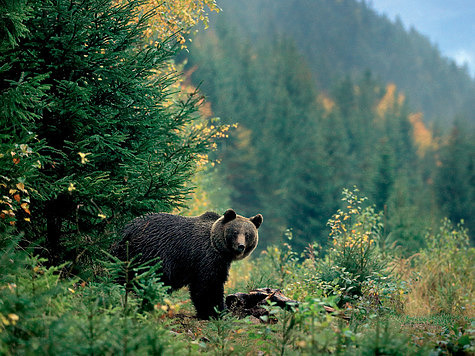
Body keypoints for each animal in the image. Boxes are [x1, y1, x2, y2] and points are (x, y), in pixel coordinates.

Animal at [111, 209, 262, 320]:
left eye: (248, 234)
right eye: (235, 232)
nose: (240, 246)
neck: (219, 248)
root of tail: (128, 230)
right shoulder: (205, 258)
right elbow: (208, 286)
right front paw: (215, 312)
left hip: (123, 252)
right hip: (151, 253)